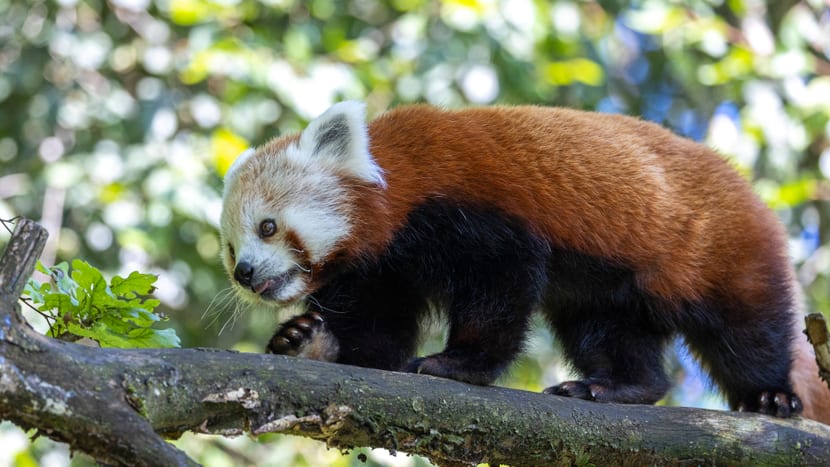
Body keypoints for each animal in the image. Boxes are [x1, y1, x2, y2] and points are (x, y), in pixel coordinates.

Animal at [219, 100, 830, 422]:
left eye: (267, 227)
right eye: (229, 248)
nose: (244, 274)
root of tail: (744, 186)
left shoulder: (472, 214)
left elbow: (500, 289)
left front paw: (459, 363)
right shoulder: (380, 272)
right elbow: (377, 342)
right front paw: (307, 340)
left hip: (713, 246)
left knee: (748, 330)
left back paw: (771, 394)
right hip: (605, 296)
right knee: (612, 338)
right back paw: (616, 387)